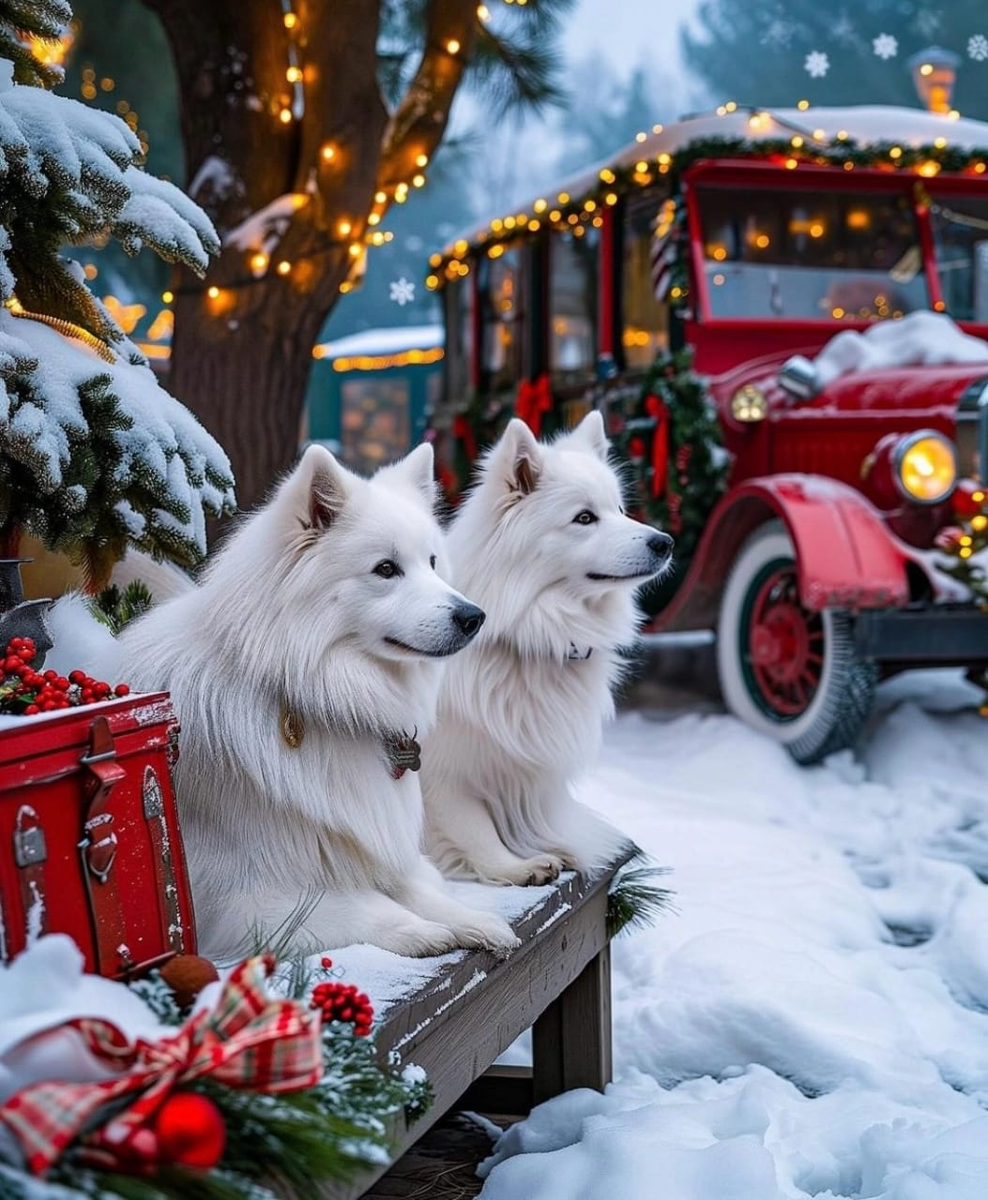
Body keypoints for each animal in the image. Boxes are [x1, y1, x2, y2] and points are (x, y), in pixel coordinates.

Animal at [112, 446, 521, 960]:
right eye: (386, 569)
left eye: (432, 562)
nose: (474, 617)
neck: (315, 693)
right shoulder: (242, 901)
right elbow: (365, 904)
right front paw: (421, 933)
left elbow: (415, 889)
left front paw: (474, 922)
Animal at [422, 412, 672, 883]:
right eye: (585, 518)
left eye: (621, 510)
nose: (664, 542)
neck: (530, 632)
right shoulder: (445, 771)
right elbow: (472, 825)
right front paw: (513, 866)